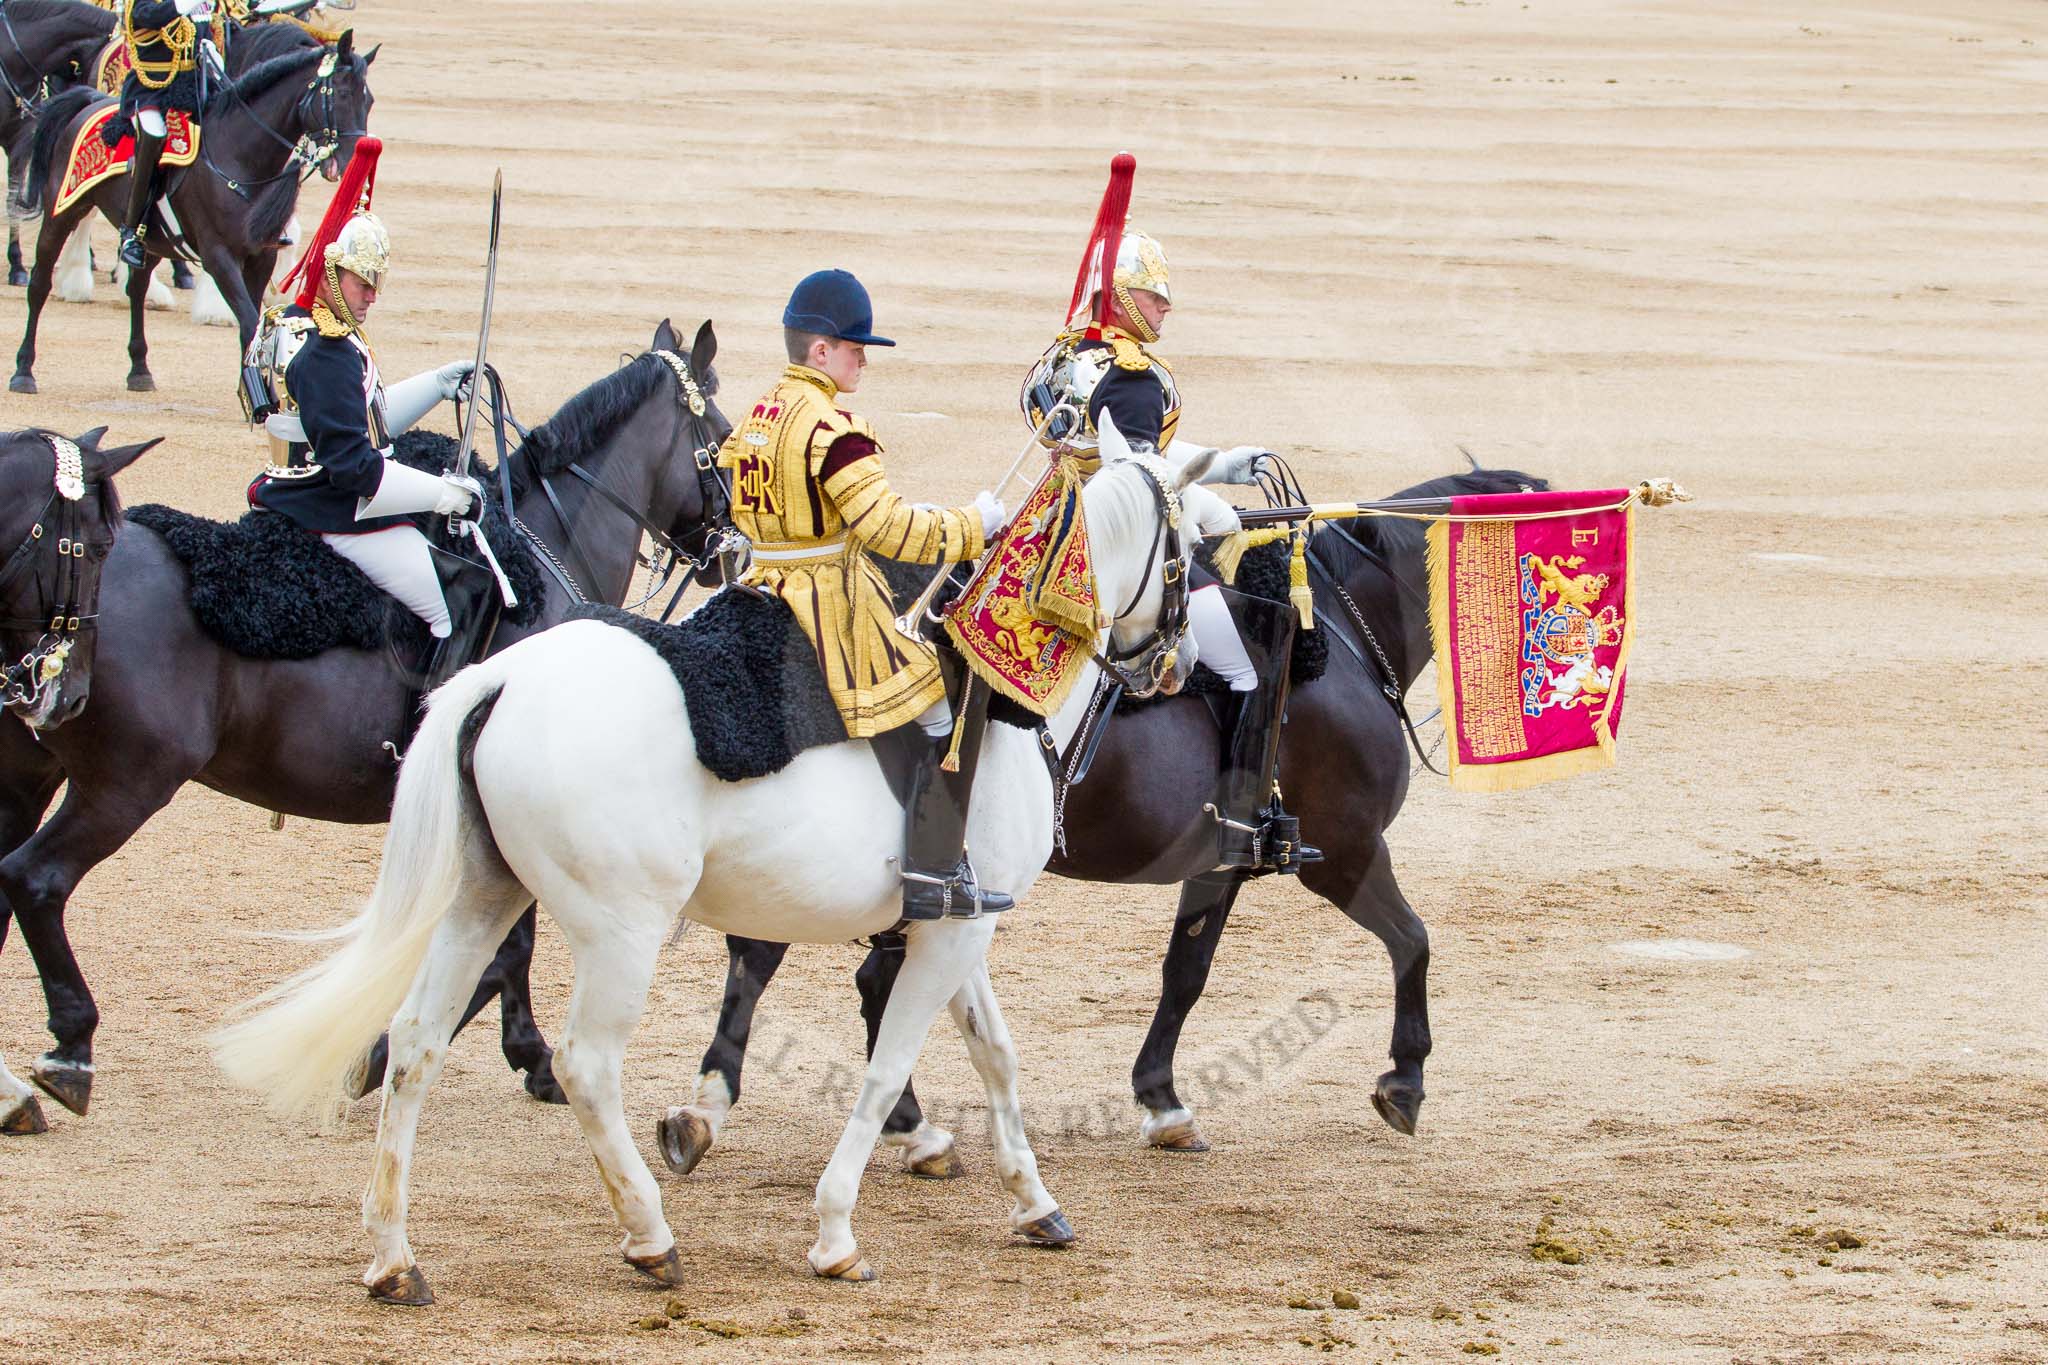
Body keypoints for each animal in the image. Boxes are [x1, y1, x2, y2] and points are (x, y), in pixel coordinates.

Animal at [0, 319, 732, 1138]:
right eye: (722, 437)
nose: (729, 547)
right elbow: (505, 950)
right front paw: (409, 1055)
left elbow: (505, 946)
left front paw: (505, 1052)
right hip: (125, 782)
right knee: (36, 879)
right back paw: (69, 1051)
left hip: (29, 775)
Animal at [10, 21, 373, 394]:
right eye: (341, 94)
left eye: (369, 100)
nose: (351, 161)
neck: (239, 155)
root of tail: (90, 101)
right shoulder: (218, 256)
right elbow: (248, 324)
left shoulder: (261, 257)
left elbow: (254, 325)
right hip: (63, 212)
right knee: (39, 284)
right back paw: (24, 369)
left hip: (152, 240)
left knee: (136, 290)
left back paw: (139, 369)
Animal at [212, 431, 1219, 1302]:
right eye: (1186, 553)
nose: (1180, 665)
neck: (1000, 703)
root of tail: (504, 679)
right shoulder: (951, 935)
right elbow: (889, 1065)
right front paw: (835, 1233)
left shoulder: (957, 924)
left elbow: (995, 1054)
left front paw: (1036, 1203)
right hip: (620, 935)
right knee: (587, 1065)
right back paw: (649, 1234)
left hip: (484, 896)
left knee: (419, 1038)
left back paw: (393, 1254)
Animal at [652, 465, 1547, 1178]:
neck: (1337, 627)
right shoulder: (1348, 852)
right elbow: (1412, 939)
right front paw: (1405, 1078)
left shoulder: (1224, 859)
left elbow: (1186, 971)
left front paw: (1162, 1097)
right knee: (796, 962)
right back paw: (738, 1111)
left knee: (834, 971)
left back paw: (882, 1124)